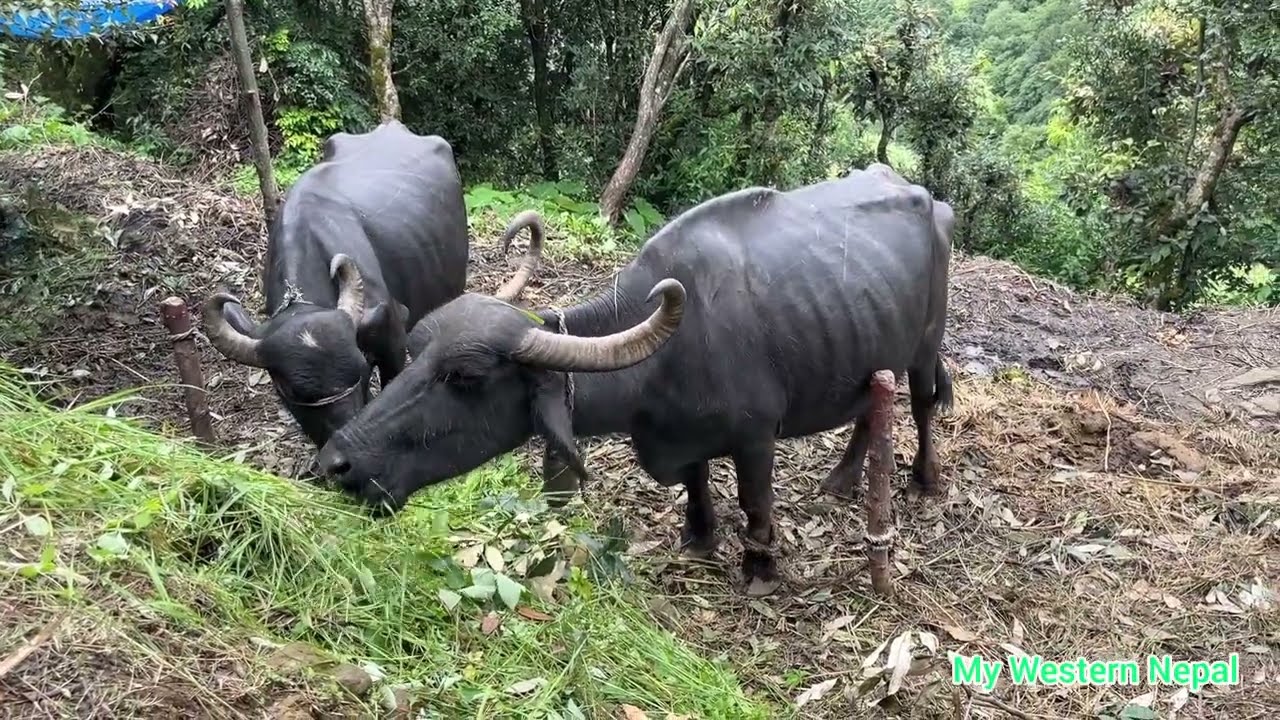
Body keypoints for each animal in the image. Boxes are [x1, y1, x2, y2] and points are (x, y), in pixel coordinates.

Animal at [315, 163, 954, 597]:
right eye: (416, 351)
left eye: (465, 377)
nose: (336, 463)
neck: (671, 356)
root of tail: (932, 200)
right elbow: (696, 481)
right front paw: (699, 537)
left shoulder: (756, 437)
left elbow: (755, 502)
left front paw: (759, 567)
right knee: (869, 409)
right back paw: (842, 480)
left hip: (925, 346)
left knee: (921, 404)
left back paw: (924, 479)